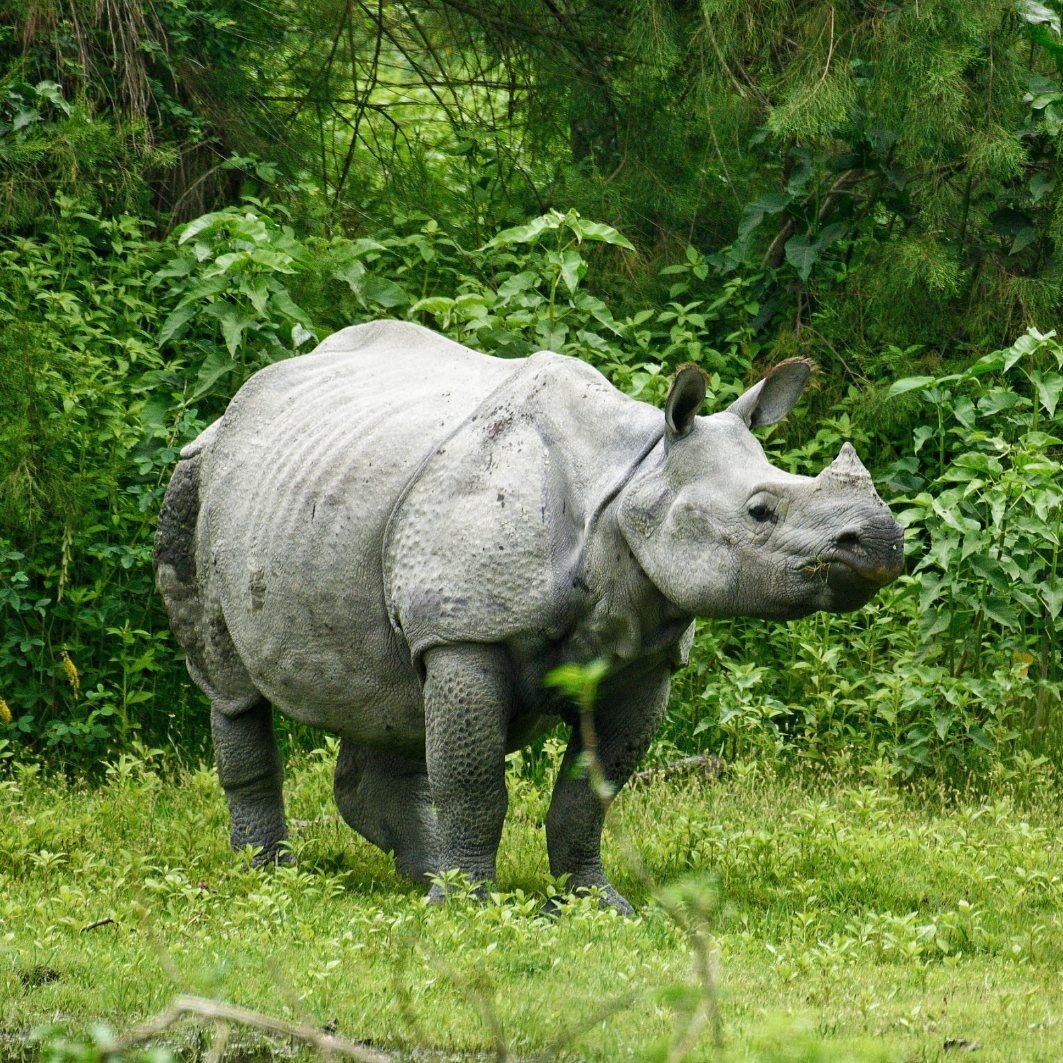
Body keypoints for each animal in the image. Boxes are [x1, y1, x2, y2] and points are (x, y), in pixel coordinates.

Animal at [155, 319, 903, 913]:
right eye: (760, 510)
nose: (879, 541)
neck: (632, 480)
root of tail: (234, 410)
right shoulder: (465, 630)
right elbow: (473, 782)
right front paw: (468, 909)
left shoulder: (643, 656)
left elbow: (588, 796)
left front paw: (596, 904)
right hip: (199, 479)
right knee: (232, 688)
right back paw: (272, 876)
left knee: (388, 692)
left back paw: (420, 875)